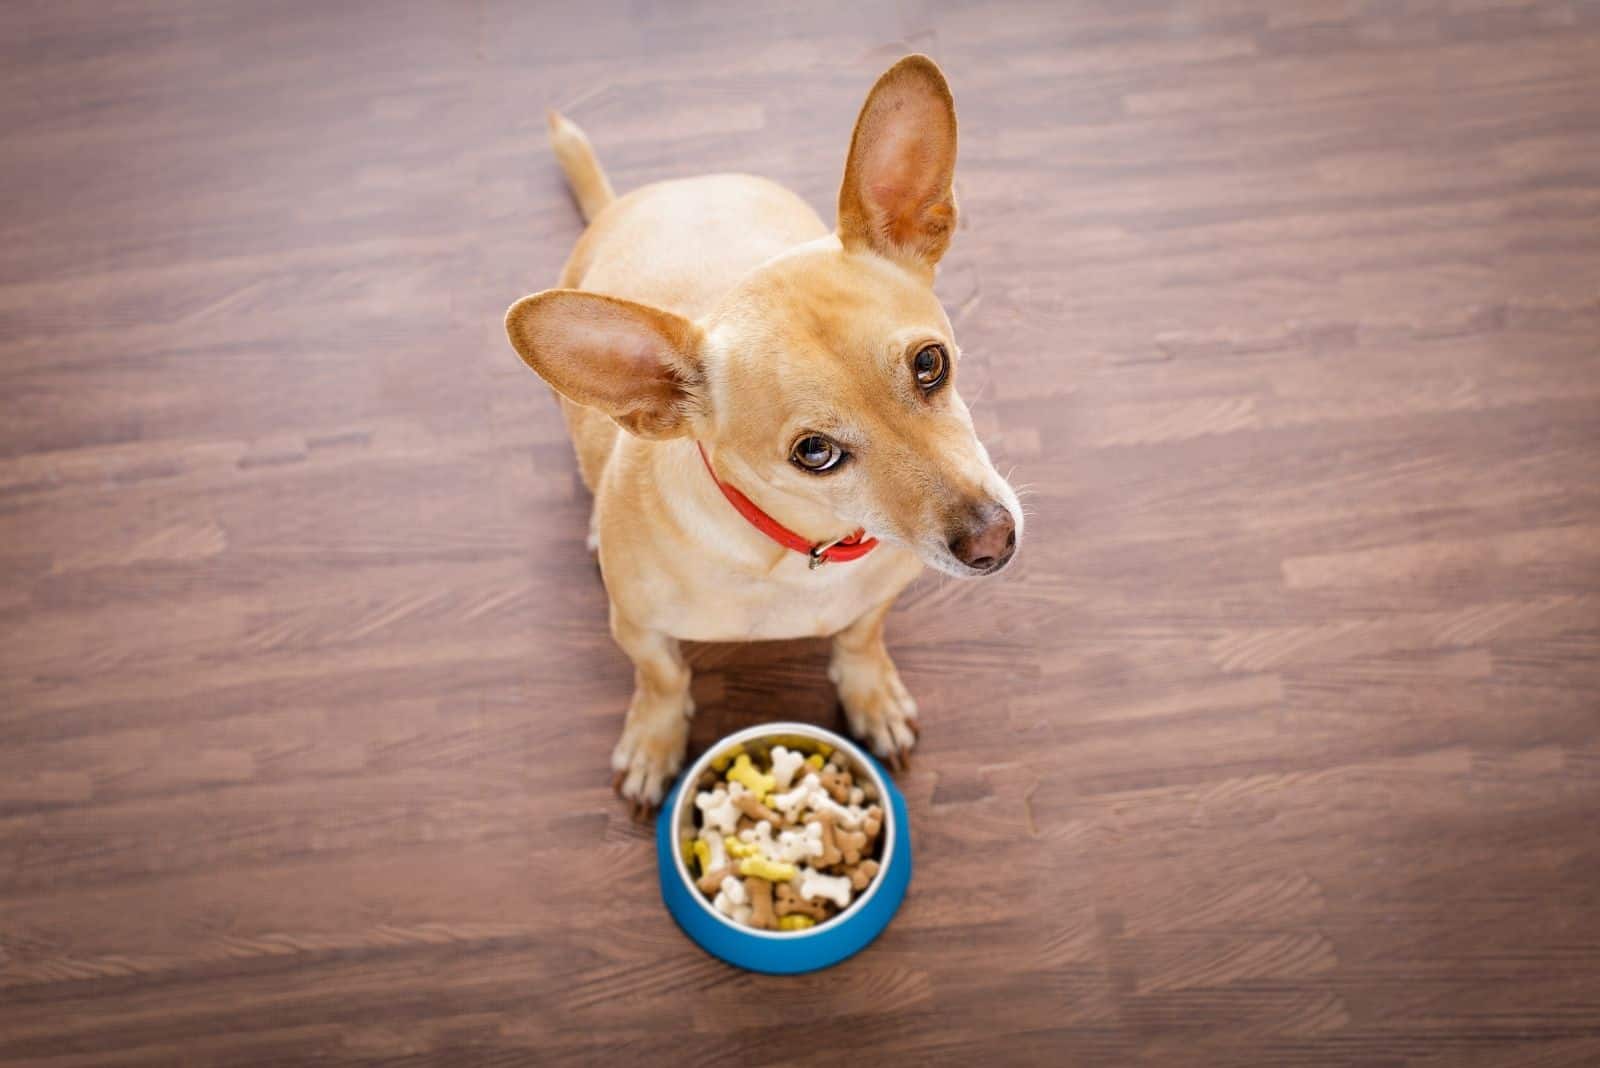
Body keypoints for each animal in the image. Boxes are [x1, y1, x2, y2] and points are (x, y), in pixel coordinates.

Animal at [505, 56, 1017, 808]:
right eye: (815, 453)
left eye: (931, 365)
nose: (993, 542)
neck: (801, 550)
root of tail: (664, 190)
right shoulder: (637, 629)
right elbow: (663, 678)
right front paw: (654, 740)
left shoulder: (876, 601)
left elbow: (860, 640)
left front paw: (872, 695)